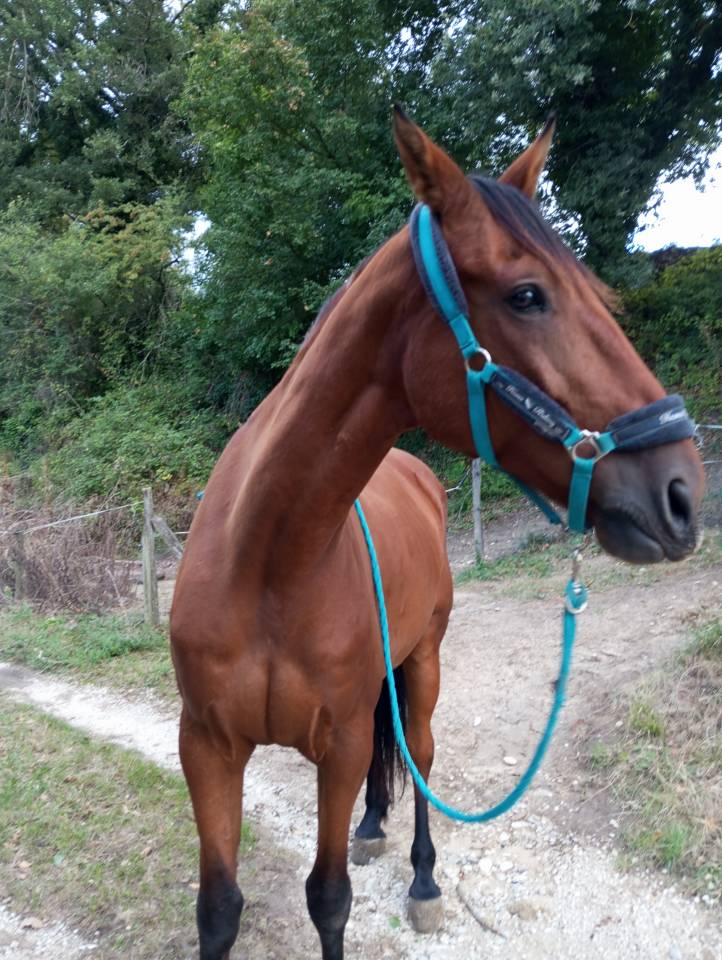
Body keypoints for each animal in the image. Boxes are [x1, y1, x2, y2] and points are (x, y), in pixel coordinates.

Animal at [170, 108, 704, 960]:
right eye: (528, 295)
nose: (683, 492)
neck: (269, 562)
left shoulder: (339, 744)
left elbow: (328, 899)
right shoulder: (207, 748)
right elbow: (219, 908)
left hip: (423, 658)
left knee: (418, 751)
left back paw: (423, 878)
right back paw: (372, 825)